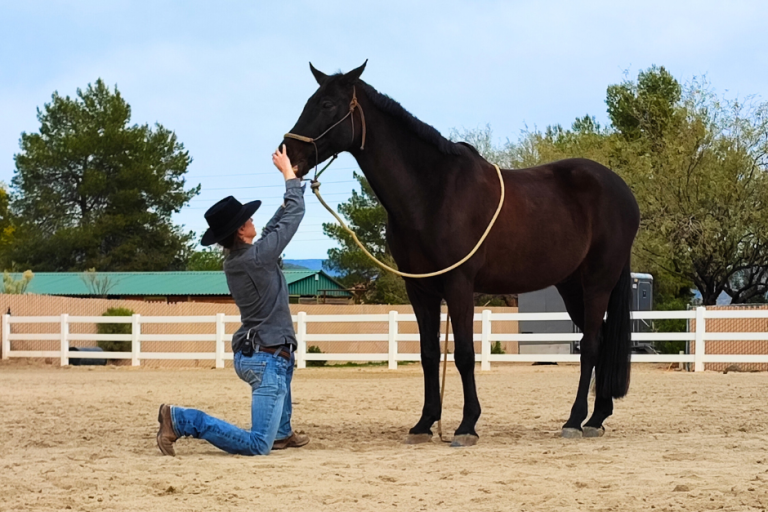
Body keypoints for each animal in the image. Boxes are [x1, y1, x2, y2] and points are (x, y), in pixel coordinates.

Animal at [281, 61, 640, 445]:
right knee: (602, 341)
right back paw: (597, 417)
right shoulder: (420, 289)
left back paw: (575, 420)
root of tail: (622, 190)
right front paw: (425, 423)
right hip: (571, 287)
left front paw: (467, 425)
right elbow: (428, 353)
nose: (289, 154)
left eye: (327, 104)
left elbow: (465, 354)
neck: (433, 191)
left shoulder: (459, 284)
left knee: (590, 345)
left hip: (598, 283)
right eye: (309, 101)